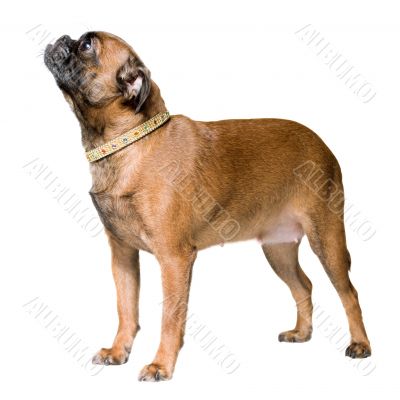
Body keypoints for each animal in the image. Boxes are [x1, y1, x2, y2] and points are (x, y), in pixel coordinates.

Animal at [44, 31, 372, 382]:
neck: (131, 143)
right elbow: (126, 309)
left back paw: (360, 345)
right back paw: (302, 332)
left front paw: (161, 365)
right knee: (304, 286)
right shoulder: (123, 257)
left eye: (87, 45)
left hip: (326, 240)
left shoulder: (174, 259)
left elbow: (170, 317)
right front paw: (119, 351)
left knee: (349, 293)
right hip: (278, 250)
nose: (61, 38)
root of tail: (323, 146)